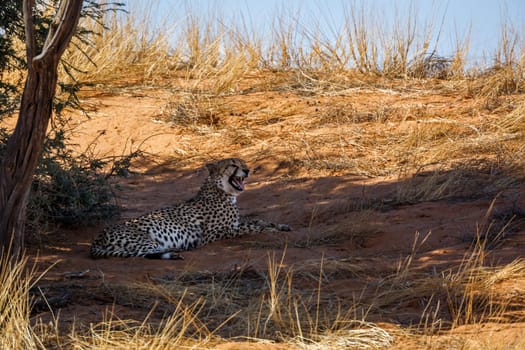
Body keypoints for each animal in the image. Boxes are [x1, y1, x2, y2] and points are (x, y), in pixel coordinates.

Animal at [88, 157, 288, 258]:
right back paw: (175, 251)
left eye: (244, 164)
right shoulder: (214, 234)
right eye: (233, 165)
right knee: (146, 252)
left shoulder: (235, 224)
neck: (222, 191)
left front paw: (280, 225)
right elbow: (253, 227)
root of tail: (98, 237)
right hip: (145, 239)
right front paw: (271, 230)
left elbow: (257, 220)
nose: (247, 170)